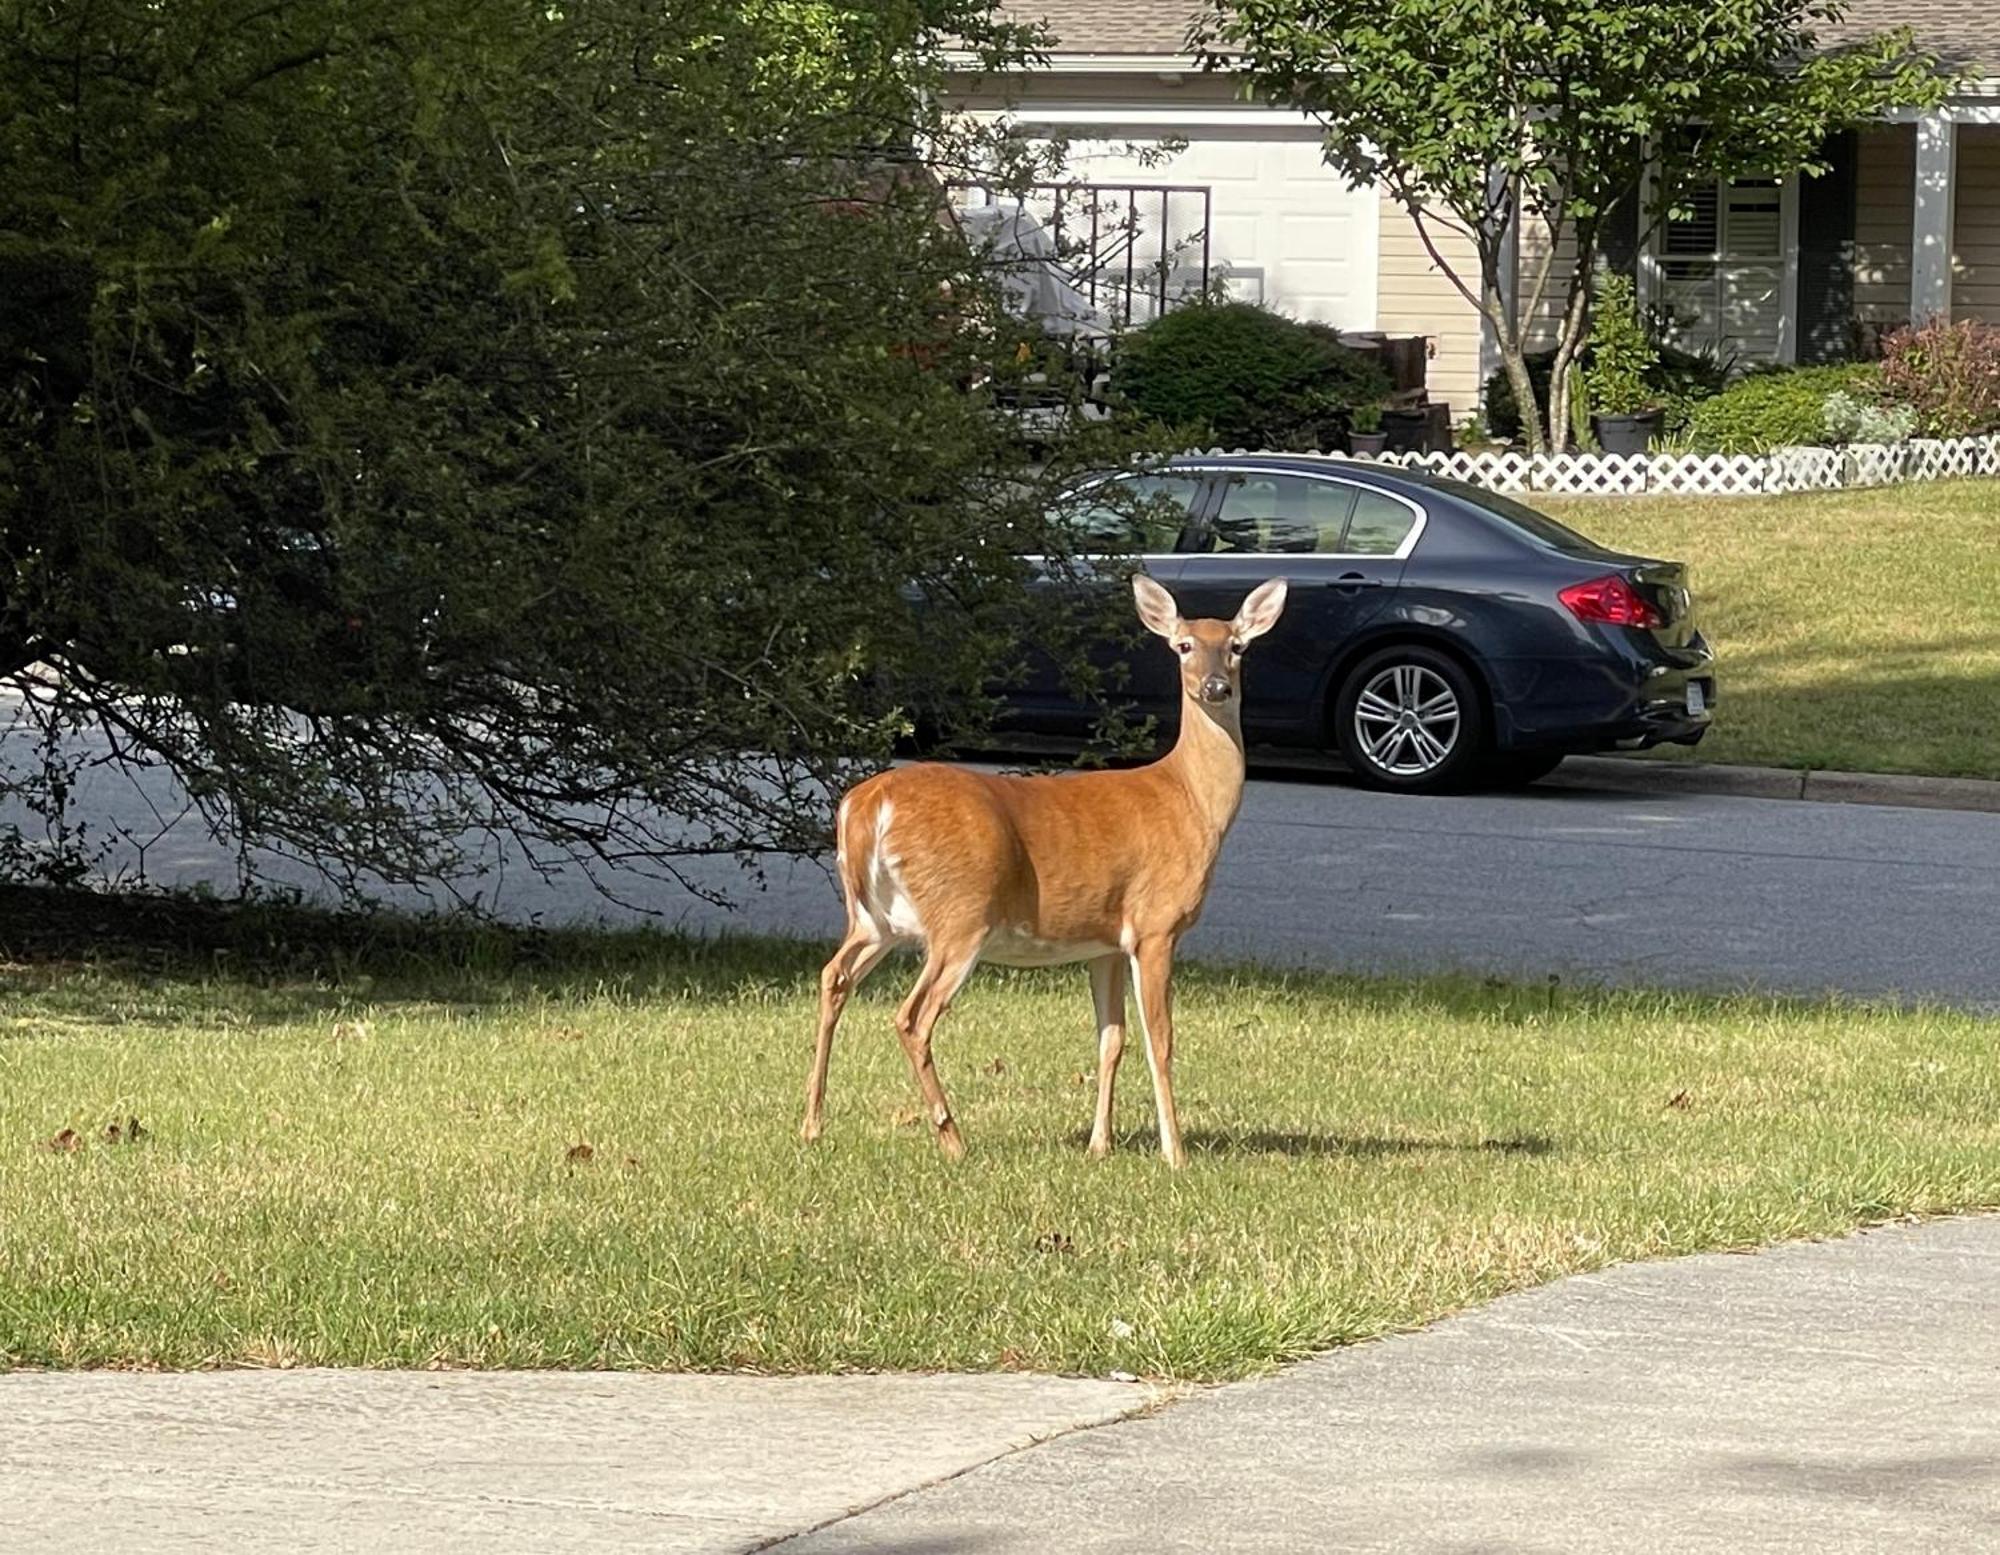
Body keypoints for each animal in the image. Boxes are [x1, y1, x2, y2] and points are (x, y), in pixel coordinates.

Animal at [804, 567, 1288, 1167]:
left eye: (1237, 646)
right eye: (1183, 646)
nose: (1216, 687)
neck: (1191, 800)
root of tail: (868, 805)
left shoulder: (1106, 940)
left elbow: (1112, 1038)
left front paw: (1099, 1145)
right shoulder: (1156, 924)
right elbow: (1161, 1039)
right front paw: (1175, 1154)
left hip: (875, 919)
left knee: (833, 976)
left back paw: (812, 1124)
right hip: (961, 914)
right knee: (911, 1017)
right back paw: (953, 1138)